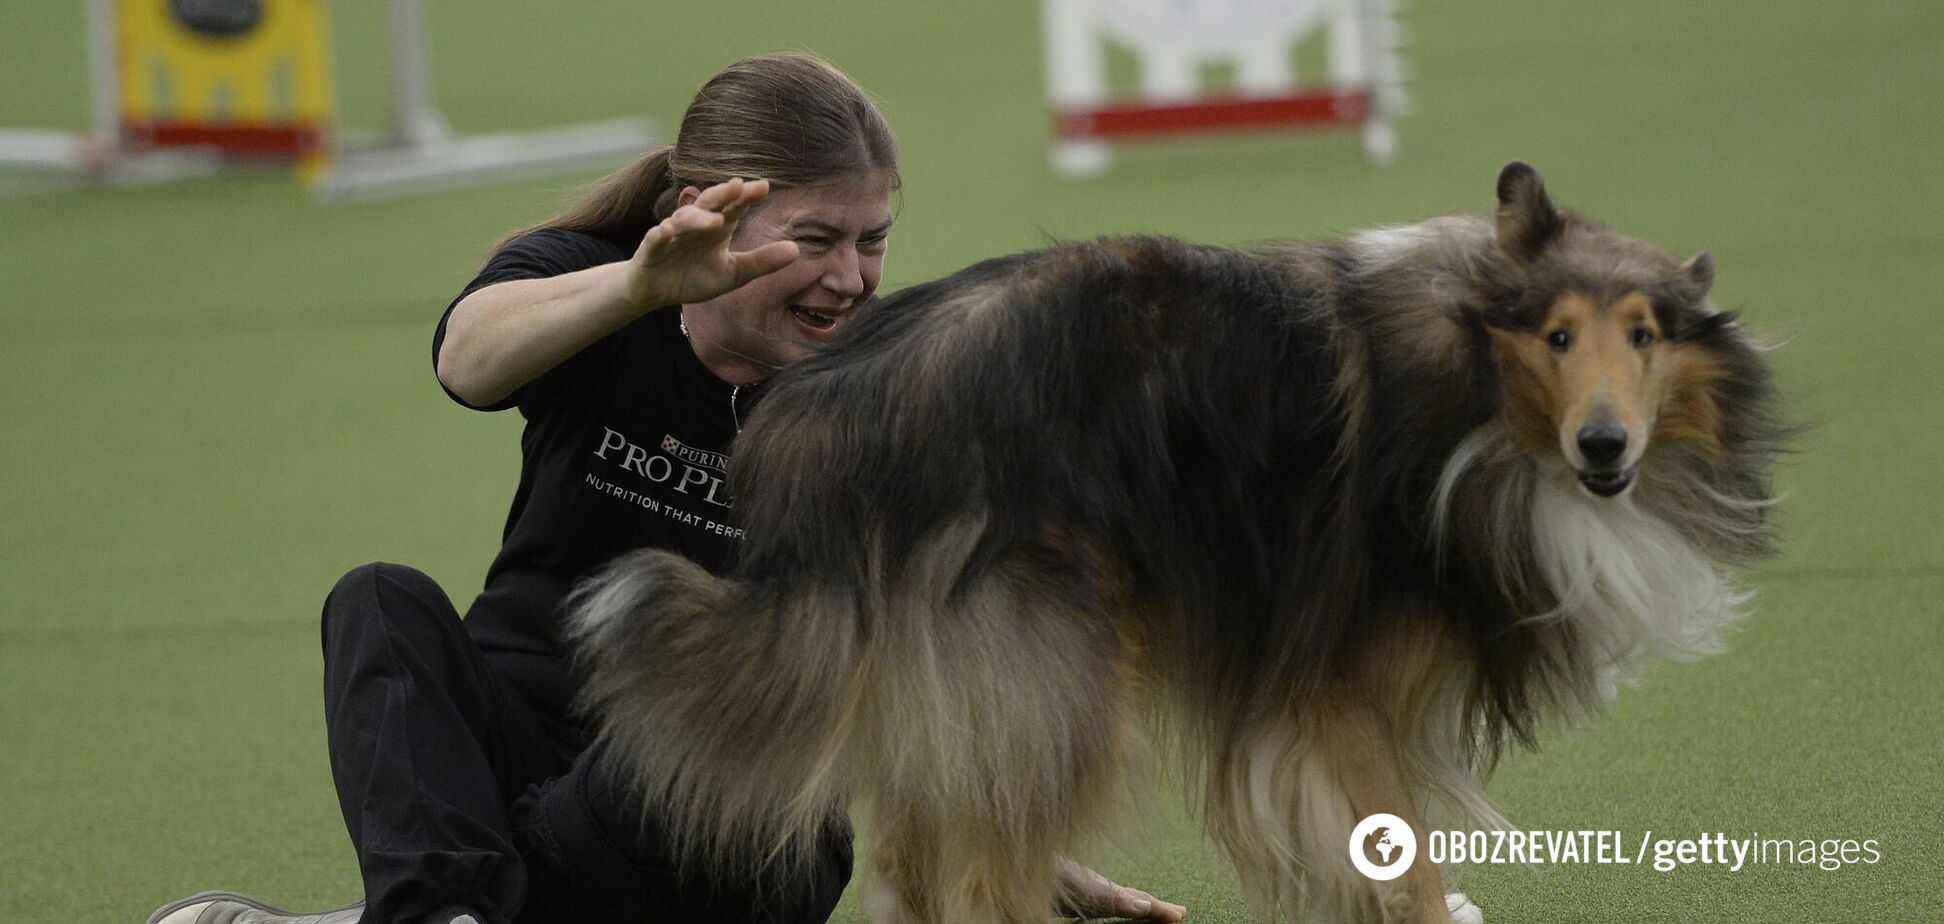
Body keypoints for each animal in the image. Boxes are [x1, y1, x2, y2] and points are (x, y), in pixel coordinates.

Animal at [563, 166, 1780, 924]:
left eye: (1646, 334)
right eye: (1559, 334)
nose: (1605, 447)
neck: (1465, 381)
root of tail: (817, 419)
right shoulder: (1329, 682)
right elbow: (1406, 863)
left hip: (941, 693)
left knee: (912, 875)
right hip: (1052, 674)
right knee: (983, 885)